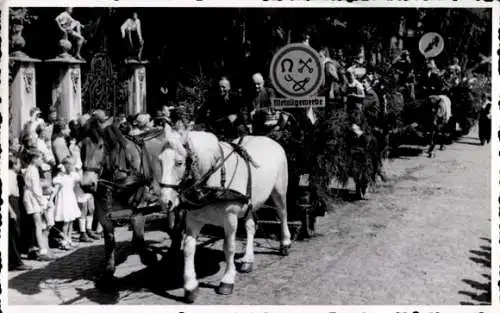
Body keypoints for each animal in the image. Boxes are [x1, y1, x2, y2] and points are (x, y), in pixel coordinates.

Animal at [80, 117, 184, 288]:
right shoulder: (103, 213)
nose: (87, 185)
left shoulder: (138, 211)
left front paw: (151, 260)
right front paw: (108, 273)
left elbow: (140, 241)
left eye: (101, 146)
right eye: (81, 147)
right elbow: (109, 243)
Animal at [157, 124, 292, 302]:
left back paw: (285, 243)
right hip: (249, 201)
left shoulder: (230, 218)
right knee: (250, 226)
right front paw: (190, 286)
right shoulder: (193, 219)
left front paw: (227, 280)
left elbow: (229, 247)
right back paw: (248, 259)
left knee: (282, 214)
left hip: (279, 190)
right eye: (159, 160)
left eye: (179, 163)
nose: (166, 202)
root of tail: (269, 139)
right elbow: (188, 248)